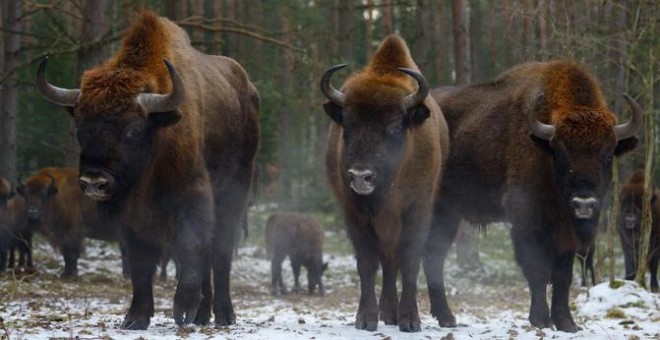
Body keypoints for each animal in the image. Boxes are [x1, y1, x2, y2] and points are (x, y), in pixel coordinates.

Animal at [35, 11, 258, 330]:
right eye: (80, 128)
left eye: (134, 129)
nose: (94, 180)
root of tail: (247, 89)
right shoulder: (131, 218)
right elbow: (140, 265)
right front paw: (135, 318)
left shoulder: (192, 197)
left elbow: (191, 247)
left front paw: (183, 310)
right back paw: (202, 316)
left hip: (236, 191)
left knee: (220, 252)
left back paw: (223, 316)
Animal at [320, 35, 448, 332]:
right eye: (347, 125)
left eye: (394, 127)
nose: (360, 176)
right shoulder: (356, 215)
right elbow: (367, 263)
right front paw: (365, 319)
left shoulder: (417, 211)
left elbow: (410, 260)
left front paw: (410, 320)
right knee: (387, 263)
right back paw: (387, 312)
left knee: (394, 262)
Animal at [426, 59, 640, 332]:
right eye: (560, 153)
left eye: (609, 155)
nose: (584, 203)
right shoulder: (527, 221)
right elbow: (538, 270)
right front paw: (541, 320)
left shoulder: (566, 234)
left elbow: (563, 276)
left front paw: (567, 323)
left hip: (447, 213)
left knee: (433, 257)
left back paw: (446, 318)